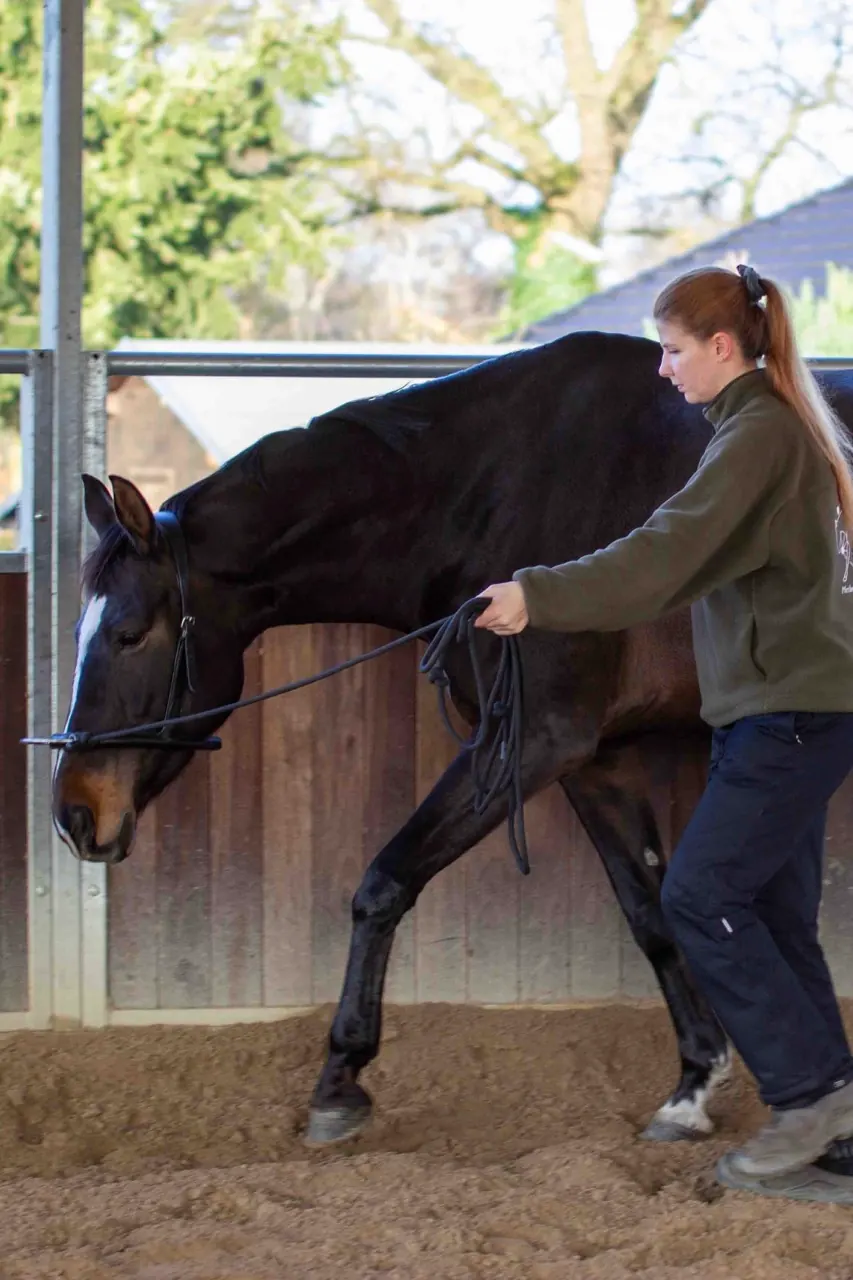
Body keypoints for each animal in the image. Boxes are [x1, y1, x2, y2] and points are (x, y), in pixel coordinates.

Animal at [51, 331, 853, 1147]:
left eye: (129, 634)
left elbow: (385, 881)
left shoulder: (529, 742)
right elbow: (651, 913)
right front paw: (692, 1084)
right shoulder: (594, 760)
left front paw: (340, 1079)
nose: (74, 813)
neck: (492, 497)